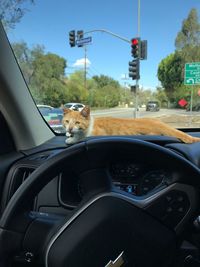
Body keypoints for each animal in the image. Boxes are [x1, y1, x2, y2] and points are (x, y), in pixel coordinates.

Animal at [62, 105, 200, 146]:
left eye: (77, 122)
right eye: (67, 121)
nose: (69, 128)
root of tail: (158, 122)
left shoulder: (96, 134)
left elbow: (81, 137)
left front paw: (71, 139)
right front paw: (69, 136)